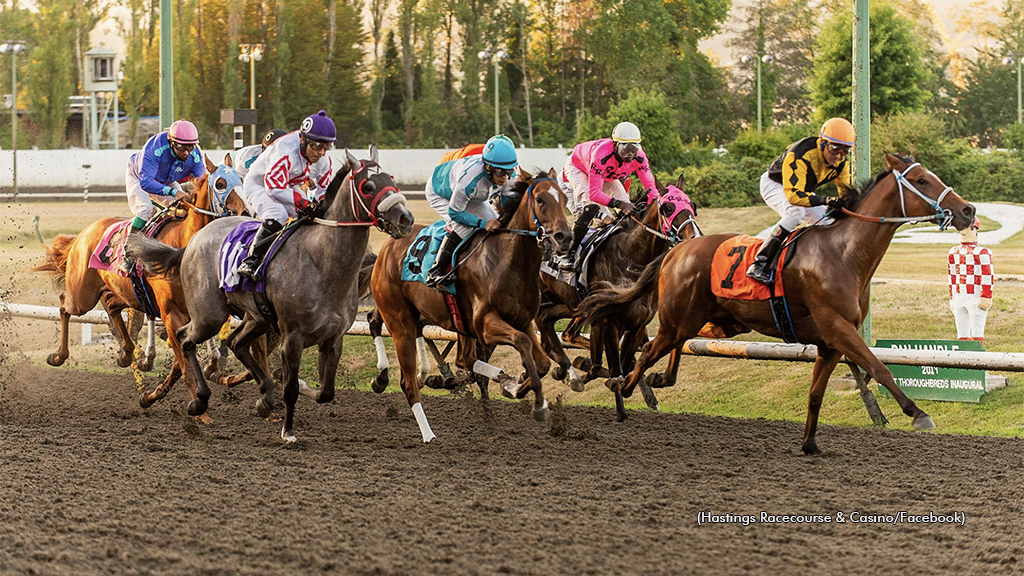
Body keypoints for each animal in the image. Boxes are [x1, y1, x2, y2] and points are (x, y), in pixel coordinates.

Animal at [32, 156, 247, 413]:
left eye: (241, 179)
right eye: (221, 183)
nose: (245, 211)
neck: (181, 249)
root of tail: (84, 233)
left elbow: (180, 365)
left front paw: (153, 394)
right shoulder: (170, 314)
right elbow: (184, 366)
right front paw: (197, 398)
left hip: (125, 293)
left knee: (111, 304)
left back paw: (126, 352)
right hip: (82, 295)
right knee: (65, 304)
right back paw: (58, 356)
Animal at [128, 145, 414, 441]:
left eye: (392, 182)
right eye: (368, 186)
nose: (405, 219)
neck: (322, 262)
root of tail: (192, 242)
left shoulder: (332, 338)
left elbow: (325, 392)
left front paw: (287, 391)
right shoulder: (293, 337)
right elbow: (291, 389)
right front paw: (288, 432)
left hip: (257, 317)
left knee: (235, 342)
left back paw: (263, 397)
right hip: (210, 315)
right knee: (185, 338)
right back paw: (199, 400)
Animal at [370, 170, 572, 442]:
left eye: (564, 198)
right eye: (540, 200)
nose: (564, 237)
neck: (508, 260)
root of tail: (387, 248)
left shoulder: (522, 321)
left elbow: (541, 363)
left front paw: (513, 386)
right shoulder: (485, 324)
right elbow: (522, 342)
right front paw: (537, 403)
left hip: (458, 324)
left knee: (464, 359)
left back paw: (495, 375)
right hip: (400, 323)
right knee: (408, 381)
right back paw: (428, 434)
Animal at [536, 174, 699, 397]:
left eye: (692, 205)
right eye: (668, 208)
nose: (694, 236)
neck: (631, 257)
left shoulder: (636, 323)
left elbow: (622, 363)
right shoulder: (609, 321)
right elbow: (612, 369)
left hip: (569, 304)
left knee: (552, 325)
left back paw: (566, 370)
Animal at [577, 154, 976, 454]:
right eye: (923, 180)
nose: (968, 210)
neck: (845, 252)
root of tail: (678, 248)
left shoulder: (830, 342)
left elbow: (815, 394)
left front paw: (809, 443)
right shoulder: (839, 329)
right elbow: (880, 369)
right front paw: (917, 412)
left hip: (717, 322)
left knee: (667, 348)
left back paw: (652, 378)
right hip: (679, 319)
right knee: (646, 351)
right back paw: (620, 383)